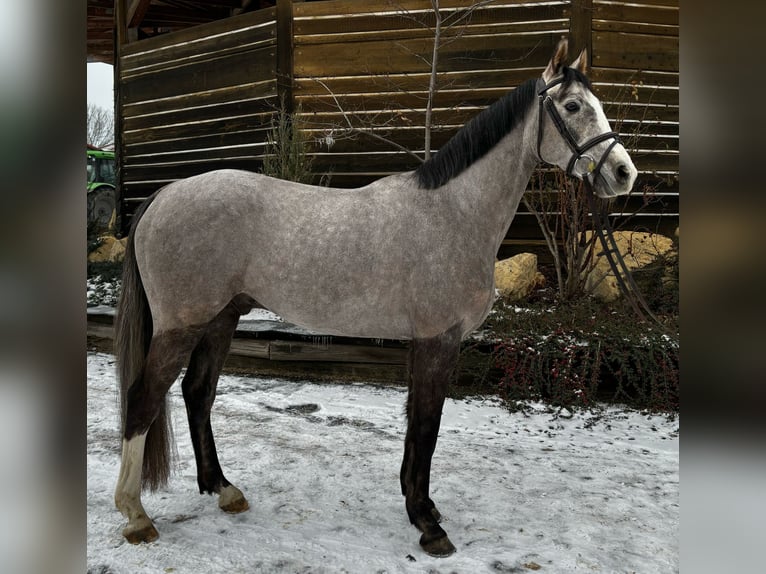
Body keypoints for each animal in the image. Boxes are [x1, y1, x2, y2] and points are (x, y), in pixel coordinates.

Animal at [114, 36, 640, 560]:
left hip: (221, 317)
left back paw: (223, 490)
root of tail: (165, 194)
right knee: (143, 399)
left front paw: (420, 505)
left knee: (197, 392)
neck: (453, 213)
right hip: (182, 324)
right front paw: (428, 524)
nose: (623, 173)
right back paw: (136, 515)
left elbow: (418, 426)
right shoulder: (436, 339)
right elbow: (425, 425)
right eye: (572, 106)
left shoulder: (429, 342)